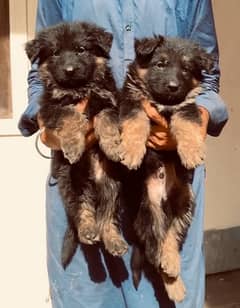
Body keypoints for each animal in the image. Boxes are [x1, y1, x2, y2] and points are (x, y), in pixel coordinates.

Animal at [25, 21, 128, 268]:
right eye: (55, 53)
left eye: (81, 49)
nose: (69, 70)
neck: (79, 89)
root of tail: (94, 184)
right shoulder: (51, 109)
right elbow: (70, 115)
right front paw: (73, 146)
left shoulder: (109, 101)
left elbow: (105, 119)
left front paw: (112, 146)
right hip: (72, 181)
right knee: (81, 210)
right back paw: (87, 230)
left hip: (113, 185)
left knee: (108, 216)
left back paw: (113, 240)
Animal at [120, 35, 214, 300]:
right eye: (160, 64)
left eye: (186, 69)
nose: (173, 86)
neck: (163, 101)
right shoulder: (131, 102)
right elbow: (136, 121)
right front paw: (132, 151)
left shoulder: (187, 106)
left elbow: (186, 121)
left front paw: (192, 151)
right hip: (148, 214)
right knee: (156, 251)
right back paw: (173, 282)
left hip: (184, 205)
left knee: (170, 240)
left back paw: (174, 275)